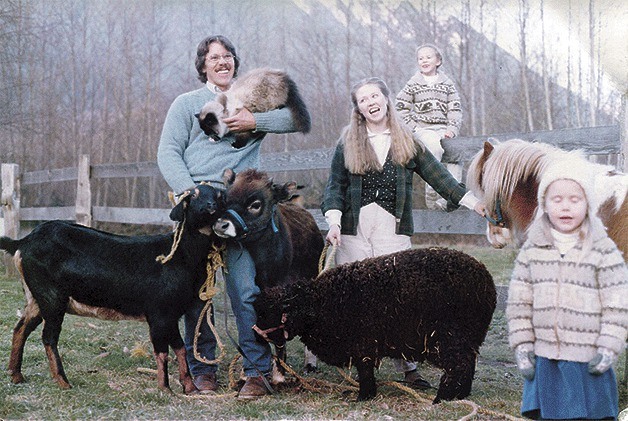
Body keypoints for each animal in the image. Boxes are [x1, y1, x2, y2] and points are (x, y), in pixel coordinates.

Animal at [0, 184, 226, 394]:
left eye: (218, 195)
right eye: (194, 195)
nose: (211, 206)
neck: (179, 255)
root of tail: (22, 242)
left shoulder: (171, 315)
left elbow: (180, 349)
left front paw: (190, 388)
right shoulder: (158, 313)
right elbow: (162, 352)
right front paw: (165, 389)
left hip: (35, 297)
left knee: (21, 328)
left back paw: (16, 375)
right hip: (51, 297)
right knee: (48, 336)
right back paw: (63, 382)